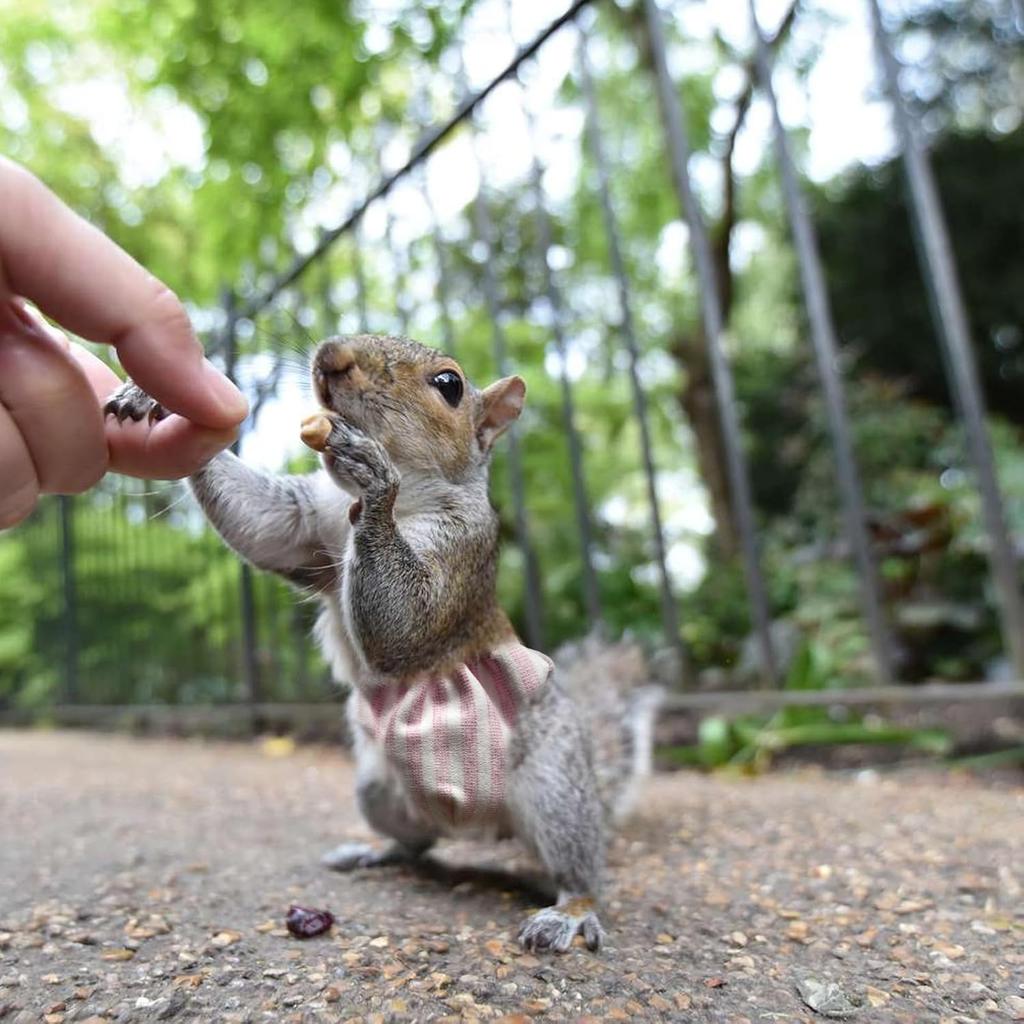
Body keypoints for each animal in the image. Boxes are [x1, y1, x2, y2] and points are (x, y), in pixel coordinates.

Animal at [105, 333, 661, 953]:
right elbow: (266, 523)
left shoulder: (462, 551)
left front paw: (374, 479)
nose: (330, 355)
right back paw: (374, 852)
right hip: (379, 789)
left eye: (450, 385)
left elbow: (406, 622)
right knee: (417, 842)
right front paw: (152, 397)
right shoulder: (308, 523)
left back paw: (568, 911)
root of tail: (484, 826)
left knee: (580, 867)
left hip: (553, 786)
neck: (410, 494)